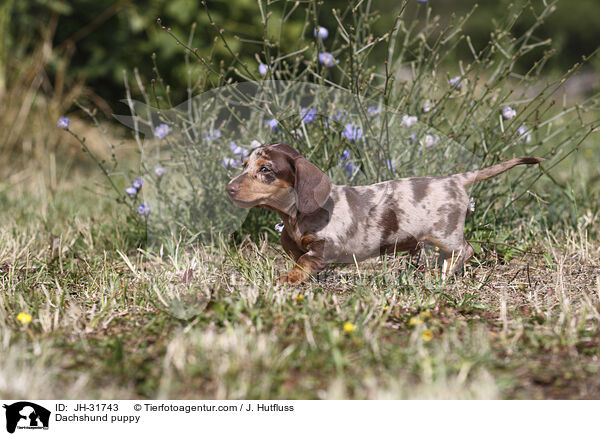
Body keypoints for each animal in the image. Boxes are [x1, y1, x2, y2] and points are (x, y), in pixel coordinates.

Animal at [226, 142, 544, 282]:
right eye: (245, 165)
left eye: (266, 169)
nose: (228, 189)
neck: (293, 217)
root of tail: (455, 179)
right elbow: (296, 253)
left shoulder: (325, 246)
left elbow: (304, 262)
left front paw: (288, 279)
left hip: (445, 232)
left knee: (464, 250)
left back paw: (443, 274)